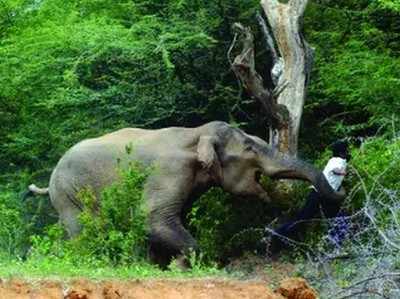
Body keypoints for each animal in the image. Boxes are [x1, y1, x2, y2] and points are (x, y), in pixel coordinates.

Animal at [30, 121, 344, 268]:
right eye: (250, 149)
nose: (340, 195)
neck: (196, 132)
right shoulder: (170, 172)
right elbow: (153, 218)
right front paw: (180, 266)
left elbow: (168, 219)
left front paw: (164, 265)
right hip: (67, 193)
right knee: (81, 230)